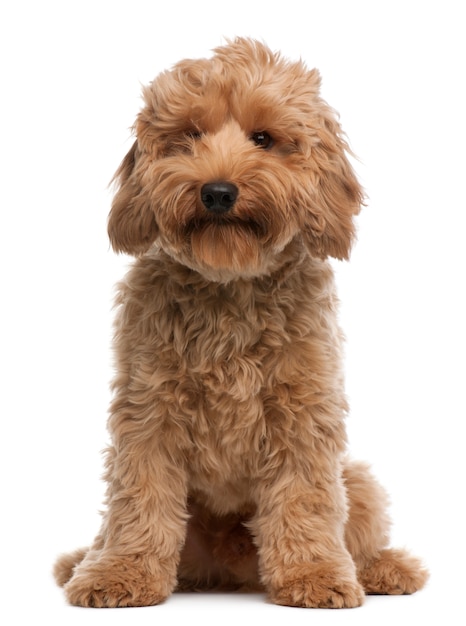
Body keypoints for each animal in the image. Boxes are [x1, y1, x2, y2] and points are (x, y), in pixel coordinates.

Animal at [52, 39, 428, 604]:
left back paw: (383, 568)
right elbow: (138, 501)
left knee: (356, 530)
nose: (217, 192)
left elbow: (306, 500)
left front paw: (314, 574)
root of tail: (229, 571)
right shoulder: (146, 413)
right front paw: (121, 572)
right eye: (189, 136)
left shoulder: (304, 414)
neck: (230, 284)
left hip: (358, 480)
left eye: (264, 138)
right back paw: (83, 560)